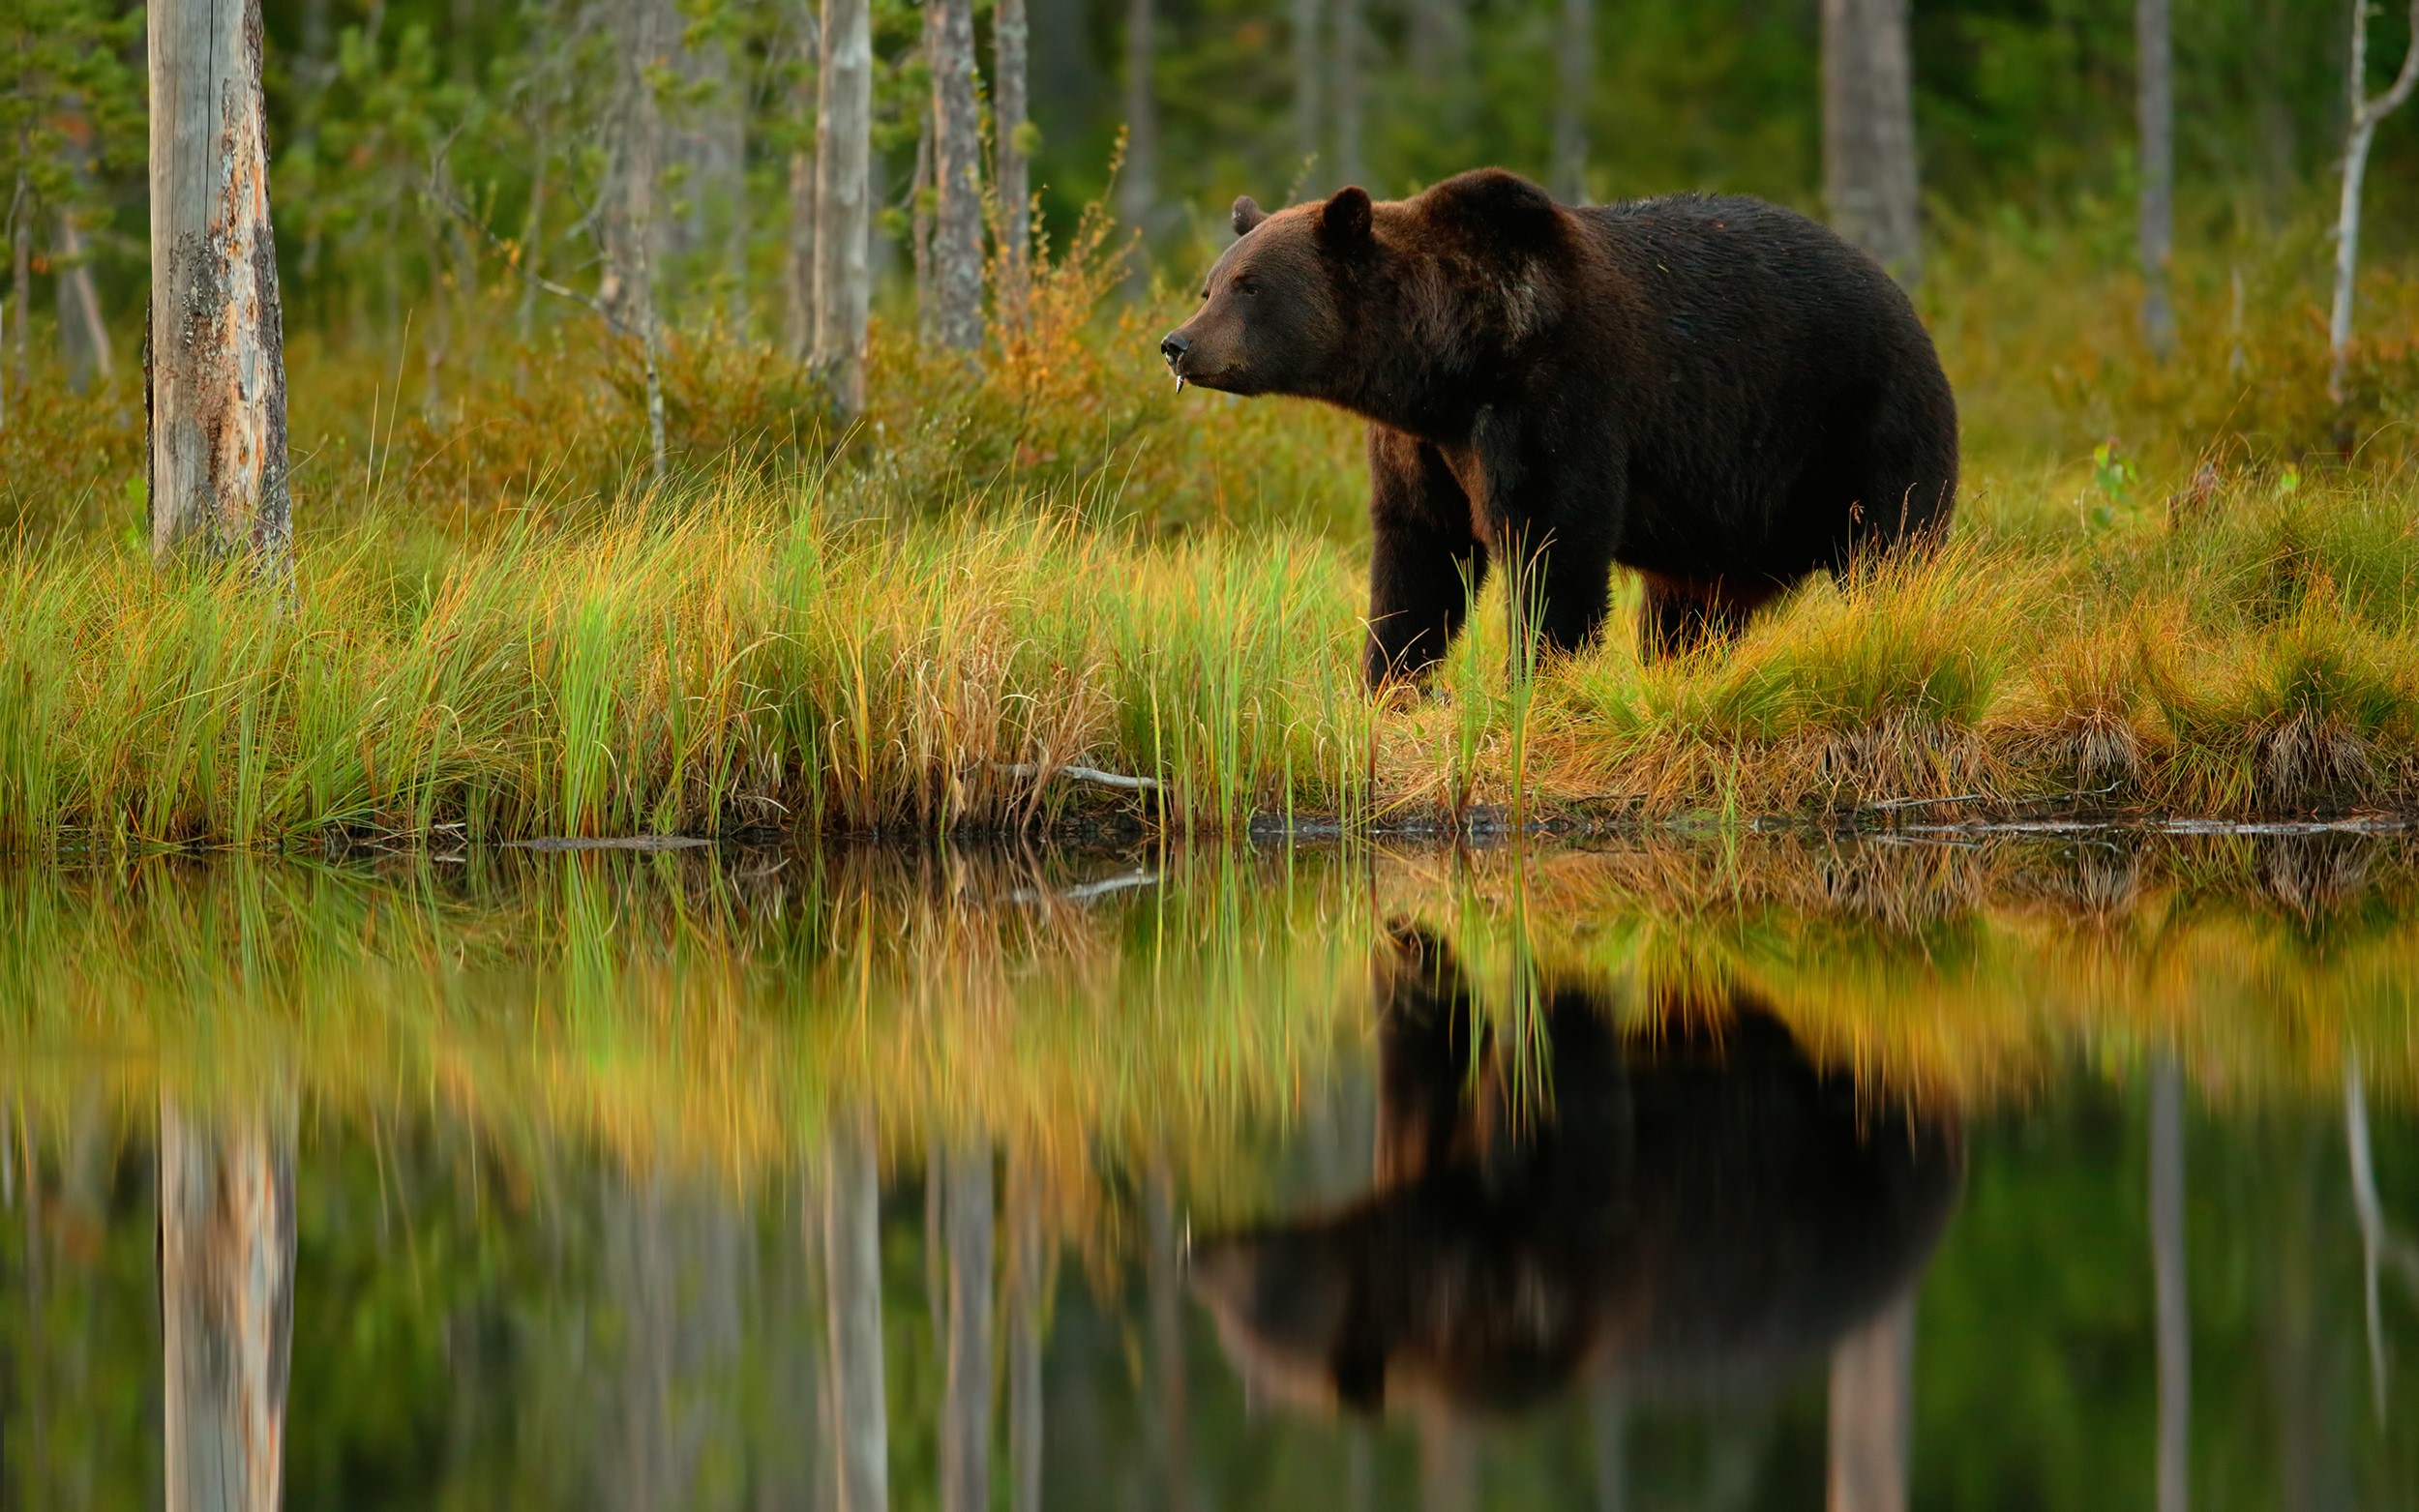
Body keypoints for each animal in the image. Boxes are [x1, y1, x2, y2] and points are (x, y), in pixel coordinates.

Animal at [1157, 169, 1960, 688]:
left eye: (1250, 286)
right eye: (1210, 285)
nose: (1177, 343)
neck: (1450, 364)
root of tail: (1907, 302)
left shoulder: (1557, 400)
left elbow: (1554, 546)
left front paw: (1536, 681)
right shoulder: (1421, 447)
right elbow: (1417, 558)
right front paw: (1390, 682)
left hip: (1861, 423)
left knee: (1892, 549)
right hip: (1722, 527)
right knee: (1688, 612)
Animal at [1187, 924, 1964, 1417]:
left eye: (1242, 1305)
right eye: (1227, 1327)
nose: (1195, 1253)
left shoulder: (1555, 1268)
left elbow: (1568, 1091)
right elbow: (1429, 1038)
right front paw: (1411, 954)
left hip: (1857, 1141)